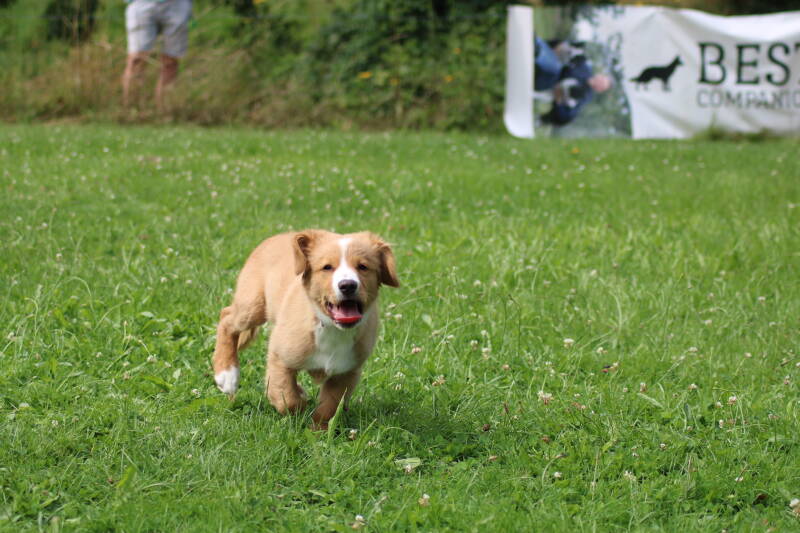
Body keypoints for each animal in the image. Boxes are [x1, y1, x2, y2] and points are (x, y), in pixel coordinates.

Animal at [212, 230, 399, 429]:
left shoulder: (346, 372)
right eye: (327, 267)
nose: (348, 285)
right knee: (227, 318)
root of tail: (278, 235)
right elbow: (286, 397)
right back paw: (227, 375)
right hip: (252, 305)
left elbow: (329, 407)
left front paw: (318, 430)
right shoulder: (279, 356)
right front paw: (298, 410)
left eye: (363, 267)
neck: (330, 328)